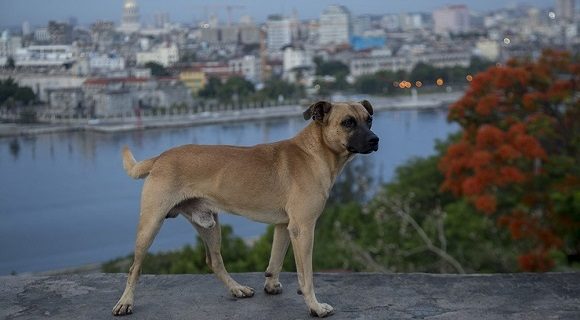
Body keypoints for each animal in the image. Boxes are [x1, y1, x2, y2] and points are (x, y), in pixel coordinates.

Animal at [112, 100, 380, 318]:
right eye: (348, 122)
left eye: (369, 119)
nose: (375, 140)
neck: (314, 151)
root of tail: (160, 158)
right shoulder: (303, 229)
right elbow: (307, 276)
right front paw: (315, 306)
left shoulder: (284, 226)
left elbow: (275, 260)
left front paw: (271, 286)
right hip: (151, 225)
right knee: (134, 268)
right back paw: (126, 302)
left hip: (209, 225)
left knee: (215, 261)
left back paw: (236, 289)